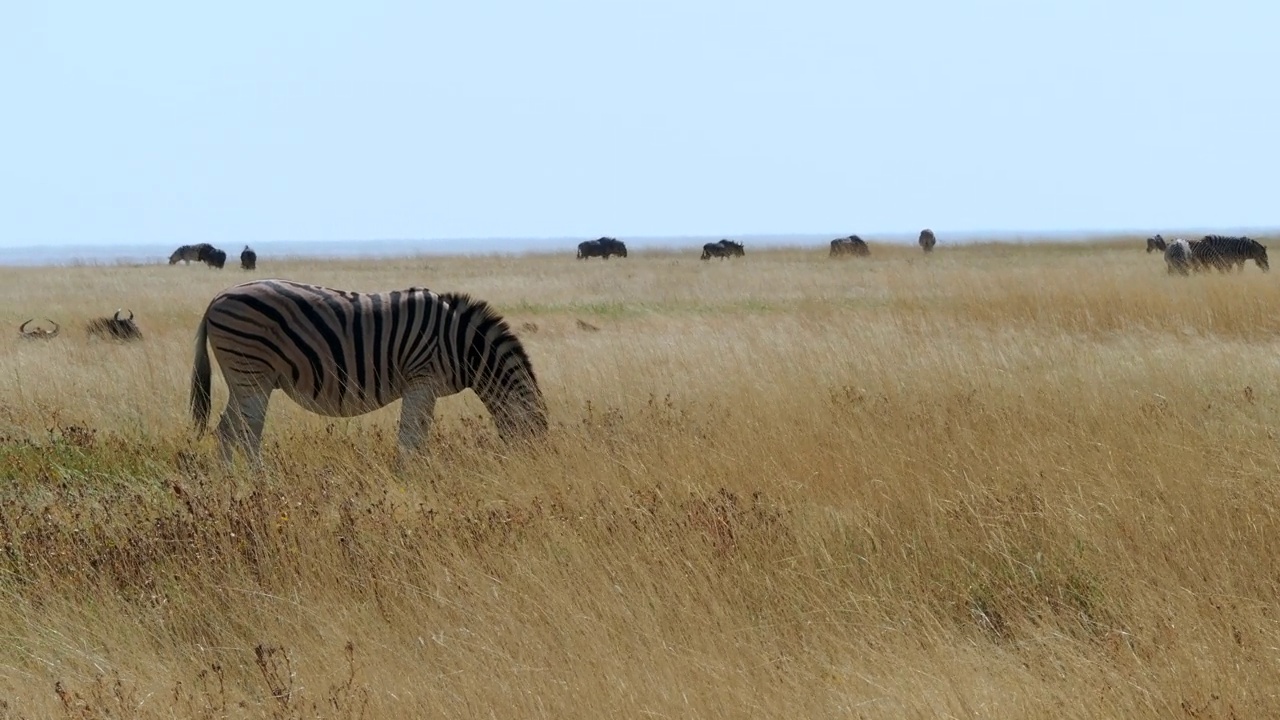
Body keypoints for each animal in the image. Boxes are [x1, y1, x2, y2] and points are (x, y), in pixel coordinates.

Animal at [188, 274, 545, 466]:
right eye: (532, 440)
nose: (524, 471)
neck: (463, 345)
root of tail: (216, 298)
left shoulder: (423, 386)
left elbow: (416, 434)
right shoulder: (422, 380)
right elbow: (412, 435)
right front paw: (410, 474)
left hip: (244, 380)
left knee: (229, 430)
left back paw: (234, 483)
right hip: (252, 373)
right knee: (245, 433)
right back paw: (259, 483)